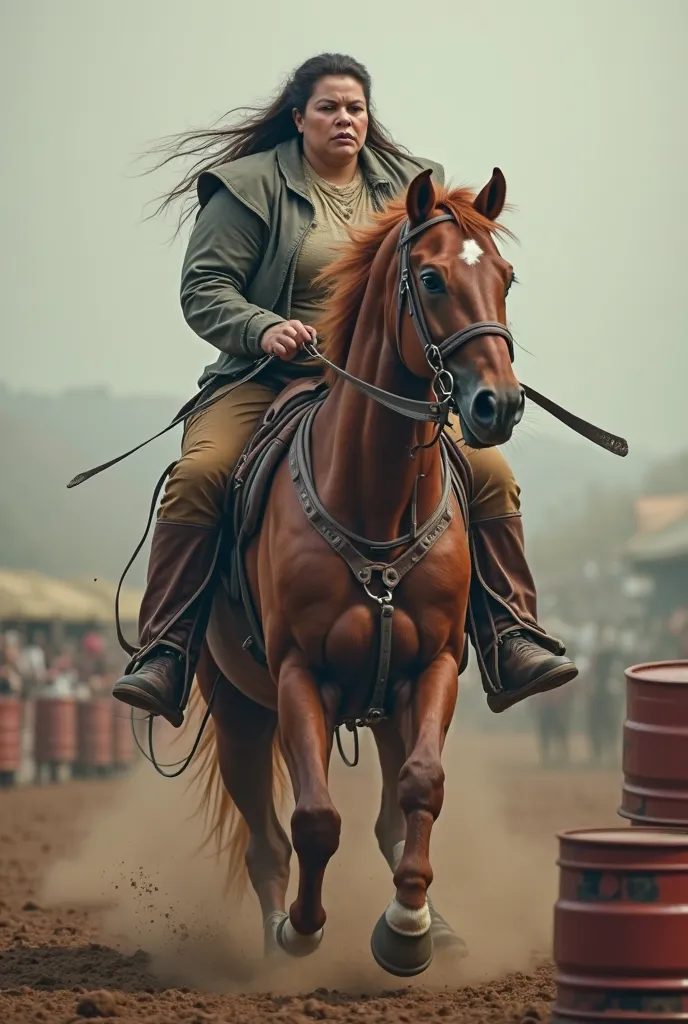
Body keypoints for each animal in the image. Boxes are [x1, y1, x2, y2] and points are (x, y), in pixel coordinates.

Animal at [186, 167, 522, 974]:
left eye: (505, 277)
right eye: (430, 278)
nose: (498, 405)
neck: (374, 506)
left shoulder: (432, 667)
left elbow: (421, 790)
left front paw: (407, 929)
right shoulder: (298, 675)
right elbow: (314, 819)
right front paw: (303, 931)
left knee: (390, 813)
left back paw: (431, 922)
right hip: (239, 711)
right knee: (267, 843)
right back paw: (276, 944)